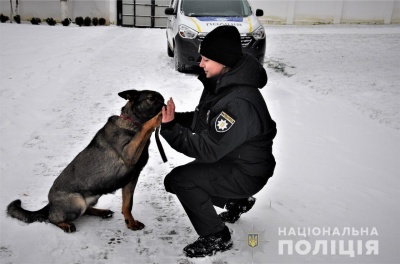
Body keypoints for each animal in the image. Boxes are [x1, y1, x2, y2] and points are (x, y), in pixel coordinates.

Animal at [6, 89, 163, 232]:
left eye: (161, 99)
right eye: (151, 99)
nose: (165, 104)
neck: (131, 123)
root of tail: (50, 204)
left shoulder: (131, 180)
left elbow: (127, 205)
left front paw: (130, 223)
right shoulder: (129, 153)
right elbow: (145, 128)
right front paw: (158, 118)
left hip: (93, 197)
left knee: (86, 210)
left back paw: (102, 212)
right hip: (78, 202)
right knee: (52, 218)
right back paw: (65, 224)